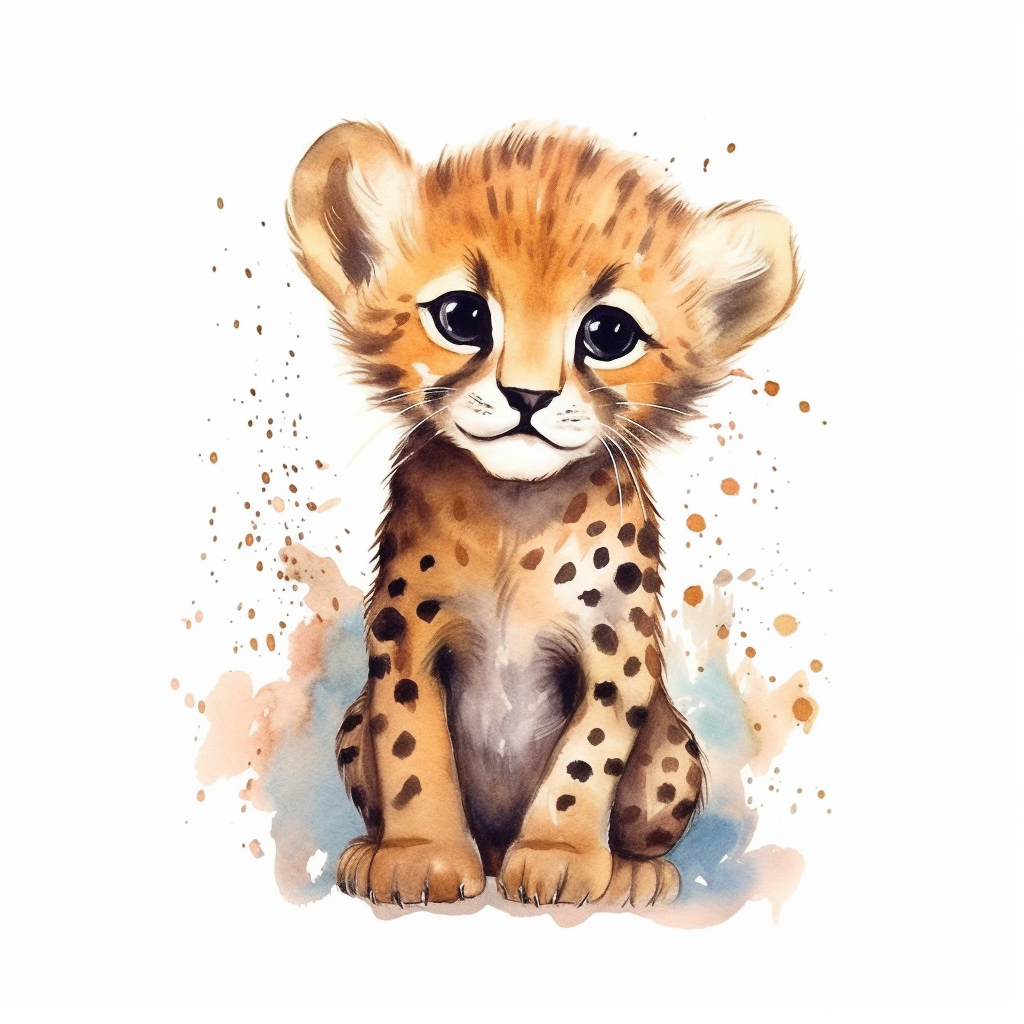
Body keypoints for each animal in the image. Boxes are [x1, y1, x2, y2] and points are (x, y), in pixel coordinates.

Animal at [287, 121, 798, 909]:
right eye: (463, 317)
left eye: (609, 333)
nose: (528, 396)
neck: (515, 517)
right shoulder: (405, 642)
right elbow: (410, 748)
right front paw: (420, 855)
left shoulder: (619, 657)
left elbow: (586, 761)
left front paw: (559, 855)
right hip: (349, 724)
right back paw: (379, 849)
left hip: (673, 743)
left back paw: (634, 870)